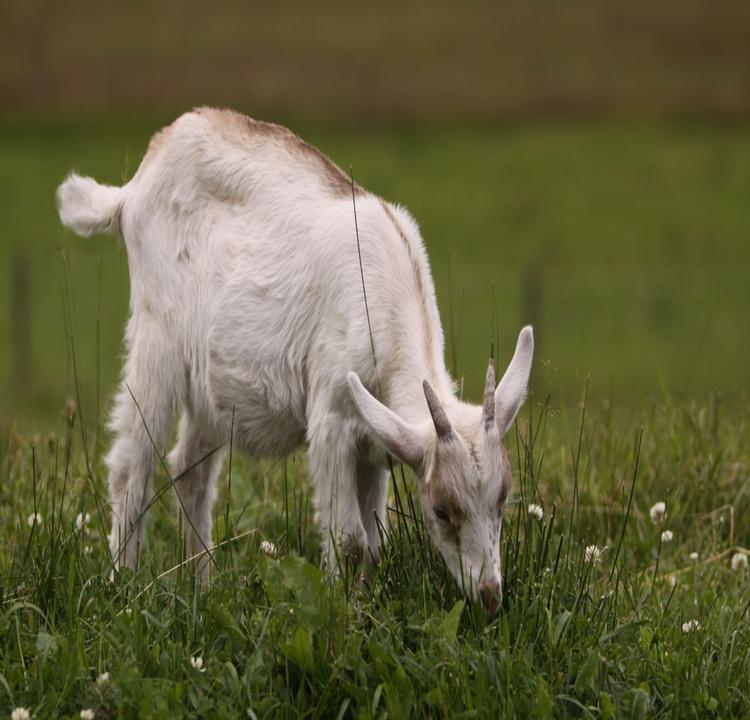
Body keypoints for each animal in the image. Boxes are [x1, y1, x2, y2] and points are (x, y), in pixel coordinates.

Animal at [55, 108, 532, 612]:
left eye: (503, 497)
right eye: (441, 509)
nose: (489, 596)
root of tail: (134, 186)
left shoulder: (376, 440)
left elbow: (376, 544)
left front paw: (364, 607)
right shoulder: (333, 421)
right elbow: (350, 540)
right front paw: (343, 611)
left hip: (211, 381)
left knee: (191, 469)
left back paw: (203, 587)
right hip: (157, 334)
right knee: (132, 463)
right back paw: (122, 587)